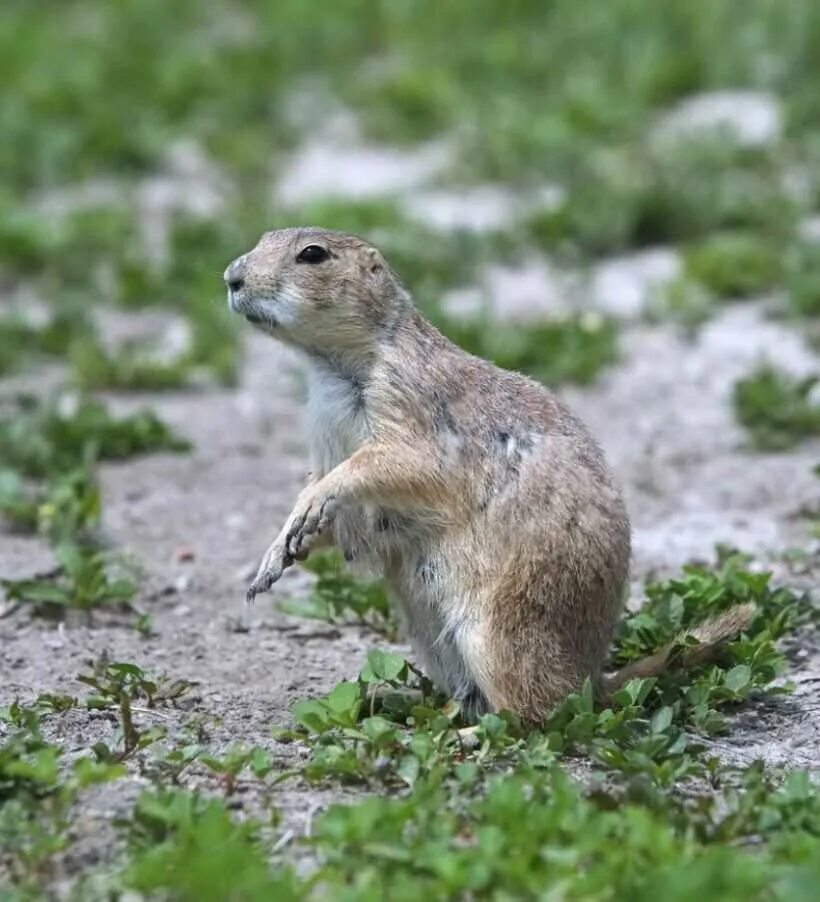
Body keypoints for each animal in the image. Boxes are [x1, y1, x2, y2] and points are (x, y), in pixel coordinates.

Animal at [221, 230, 752, 724]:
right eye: (264, 237)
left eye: (313, 254)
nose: (230, 277)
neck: (330, 365)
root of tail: (593, 677)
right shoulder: (323, 430)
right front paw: (275, 556)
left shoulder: (409, 404)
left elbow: (389, 463)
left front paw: (311, 505)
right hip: (432, 637)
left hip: (497, 631)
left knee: (535, 714)